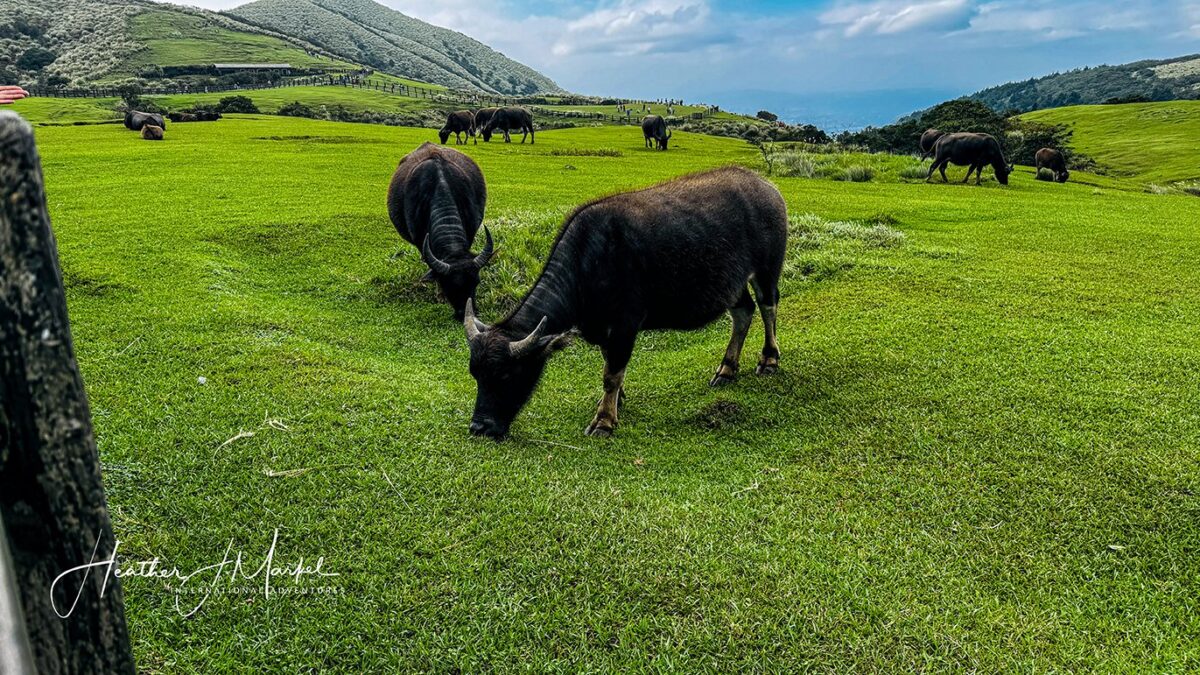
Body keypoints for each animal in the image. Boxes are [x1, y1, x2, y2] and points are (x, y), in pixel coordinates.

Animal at [462, 166, 787, 440]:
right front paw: (616, 402)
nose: (479, 427)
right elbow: (611, 368)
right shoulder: (604, 331)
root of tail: (768, 188)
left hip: (767, 269)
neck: (588, 263)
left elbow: (610, 374)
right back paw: (726, 369)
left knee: (768, 307)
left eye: (505, 374)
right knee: (743, 312)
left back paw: (769, 360)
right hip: (732, 284)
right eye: (475, 374)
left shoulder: (624, 327)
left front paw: (604, 421)